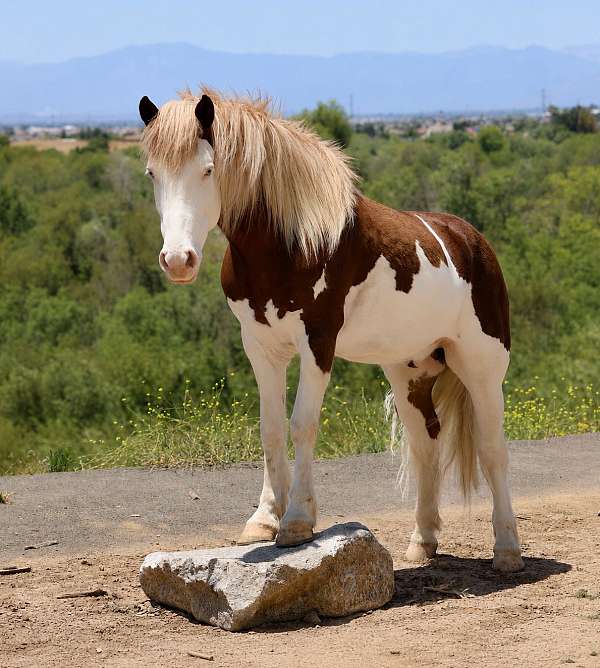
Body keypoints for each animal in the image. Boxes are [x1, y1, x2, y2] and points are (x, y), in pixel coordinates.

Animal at [138, 88, 524, 572]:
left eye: (207, 169)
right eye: (152, 173)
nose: (177, 260)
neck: (288, 244)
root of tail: (472, 241)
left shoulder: (317, 344)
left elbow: (302, 424)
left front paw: (297, 521)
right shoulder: (260, 348)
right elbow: (270, 429)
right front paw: (264, 519)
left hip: (481, 367)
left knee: (493, 450)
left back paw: (507, 550)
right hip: (409, 371)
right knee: (426, 446)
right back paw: (423, 541)